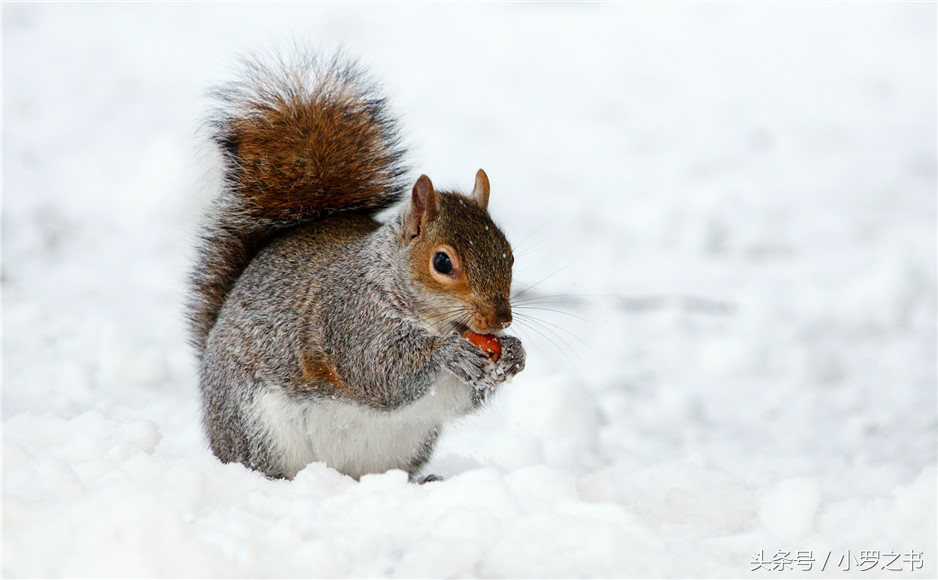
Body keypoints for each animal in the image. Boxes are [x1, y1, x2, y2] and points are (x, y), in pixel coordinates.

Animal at [188, 53, 528, 480]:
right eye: (442, 262)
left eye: (509, 254)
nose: (500, 320)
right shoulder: (350, 317)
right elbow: (379, 369)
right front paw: (448, 353)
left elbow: (463, 397)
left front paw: (514, 354)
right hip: (254, 426)